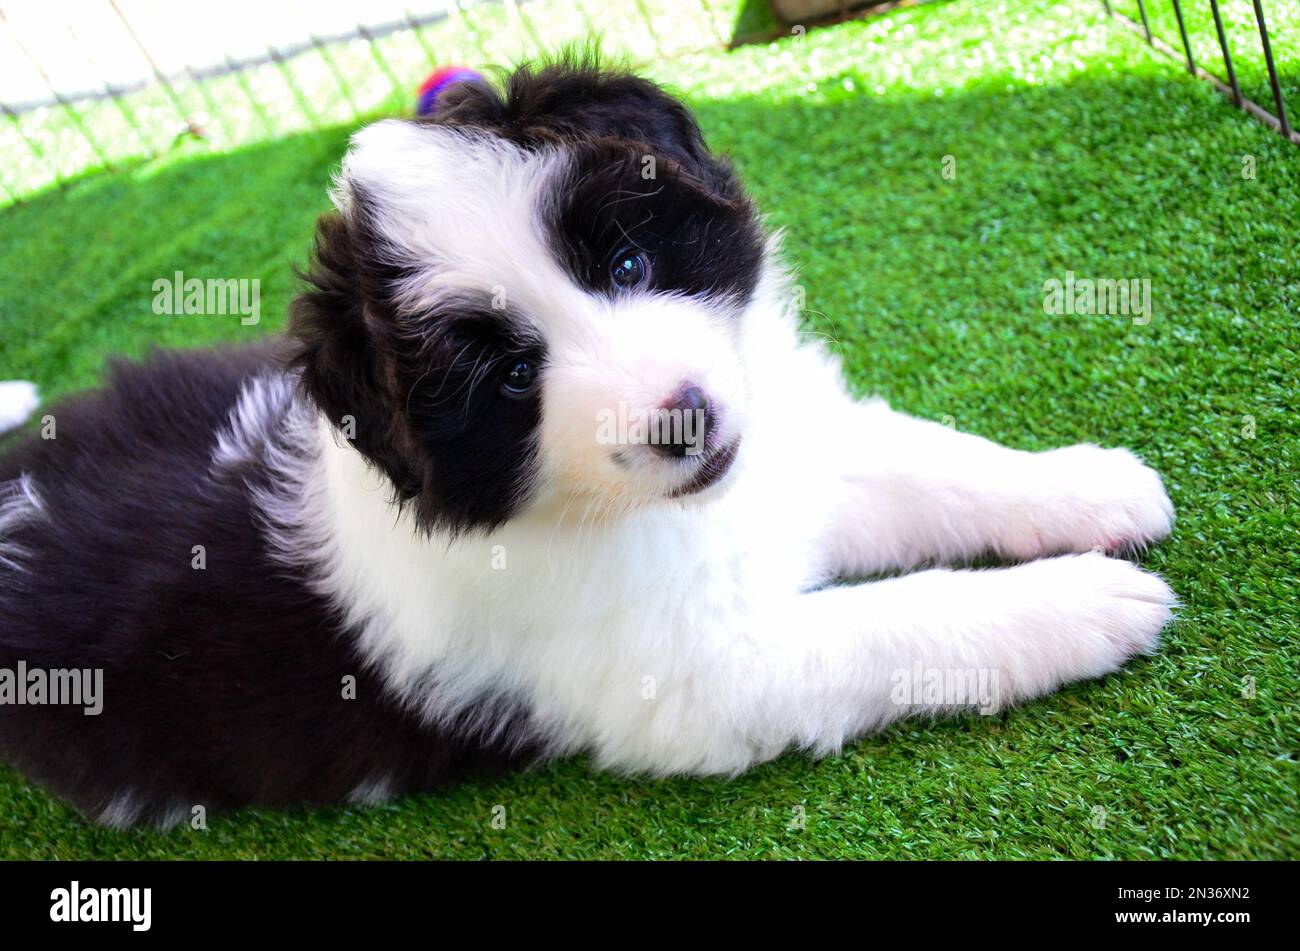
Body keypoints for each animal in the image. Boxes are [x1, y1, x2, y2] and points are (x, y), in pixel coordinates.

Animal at [0, 63, 1175, 826]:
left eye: (624, 263)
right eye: (514, 379)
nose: (684, 418)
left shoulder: (785, 453)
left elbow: (934, 464)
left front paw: (1096, 488)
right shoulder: (701, 676)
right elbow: (898, 622)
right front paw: (1087, 603)